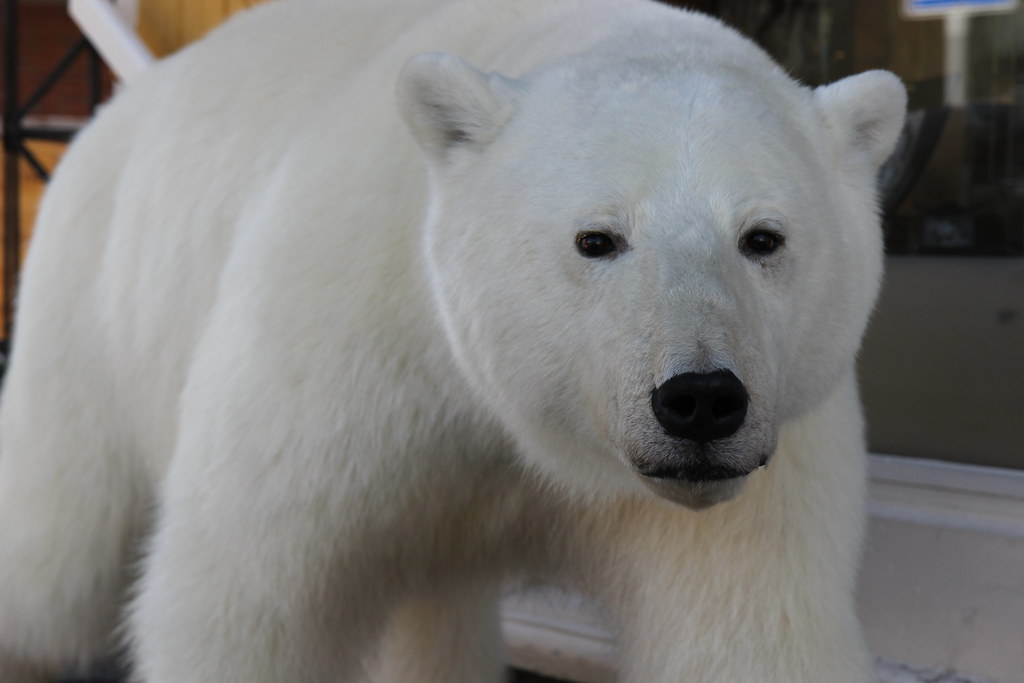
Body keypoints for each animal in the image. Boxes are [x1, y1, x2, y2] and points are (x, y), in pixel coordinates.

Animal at [0, 0, 905, 679]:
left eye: (763, 237)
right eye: (597, 238)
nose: (701, 400)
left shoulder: (762, 471)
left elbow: (749, 630)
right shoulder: (343, 358)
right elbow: (245, 598)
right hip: (91, 297)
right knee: (54, 548)